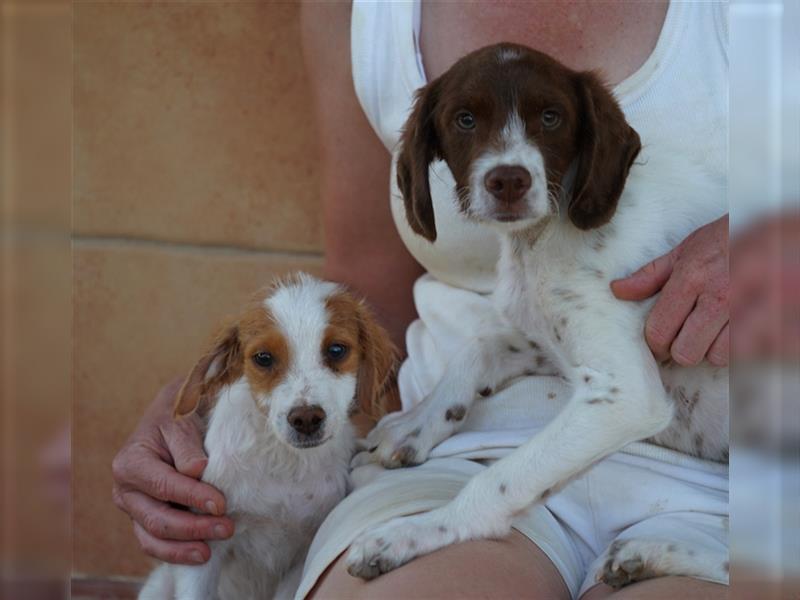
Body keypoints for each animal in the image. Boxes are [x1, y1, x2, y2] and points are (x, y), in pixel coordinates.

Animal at [142, 274, 398, 600]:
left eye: (337, 350)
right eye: (263, 358)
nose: (306, 419)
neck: (283, 461)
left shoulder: (303, 557)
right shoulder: (202, 542)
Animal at [346, 43, 728, 592]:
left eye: (551, 117)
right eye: (465, 119)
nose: (509, 180)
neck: (544, 237)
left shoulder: (625, 396)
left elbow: (501, 478)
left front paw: (415, 532)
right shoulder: (550, 343)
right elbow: (477, 348)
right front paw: (413, 425)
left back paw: (655, 550)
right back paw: (650, 553)